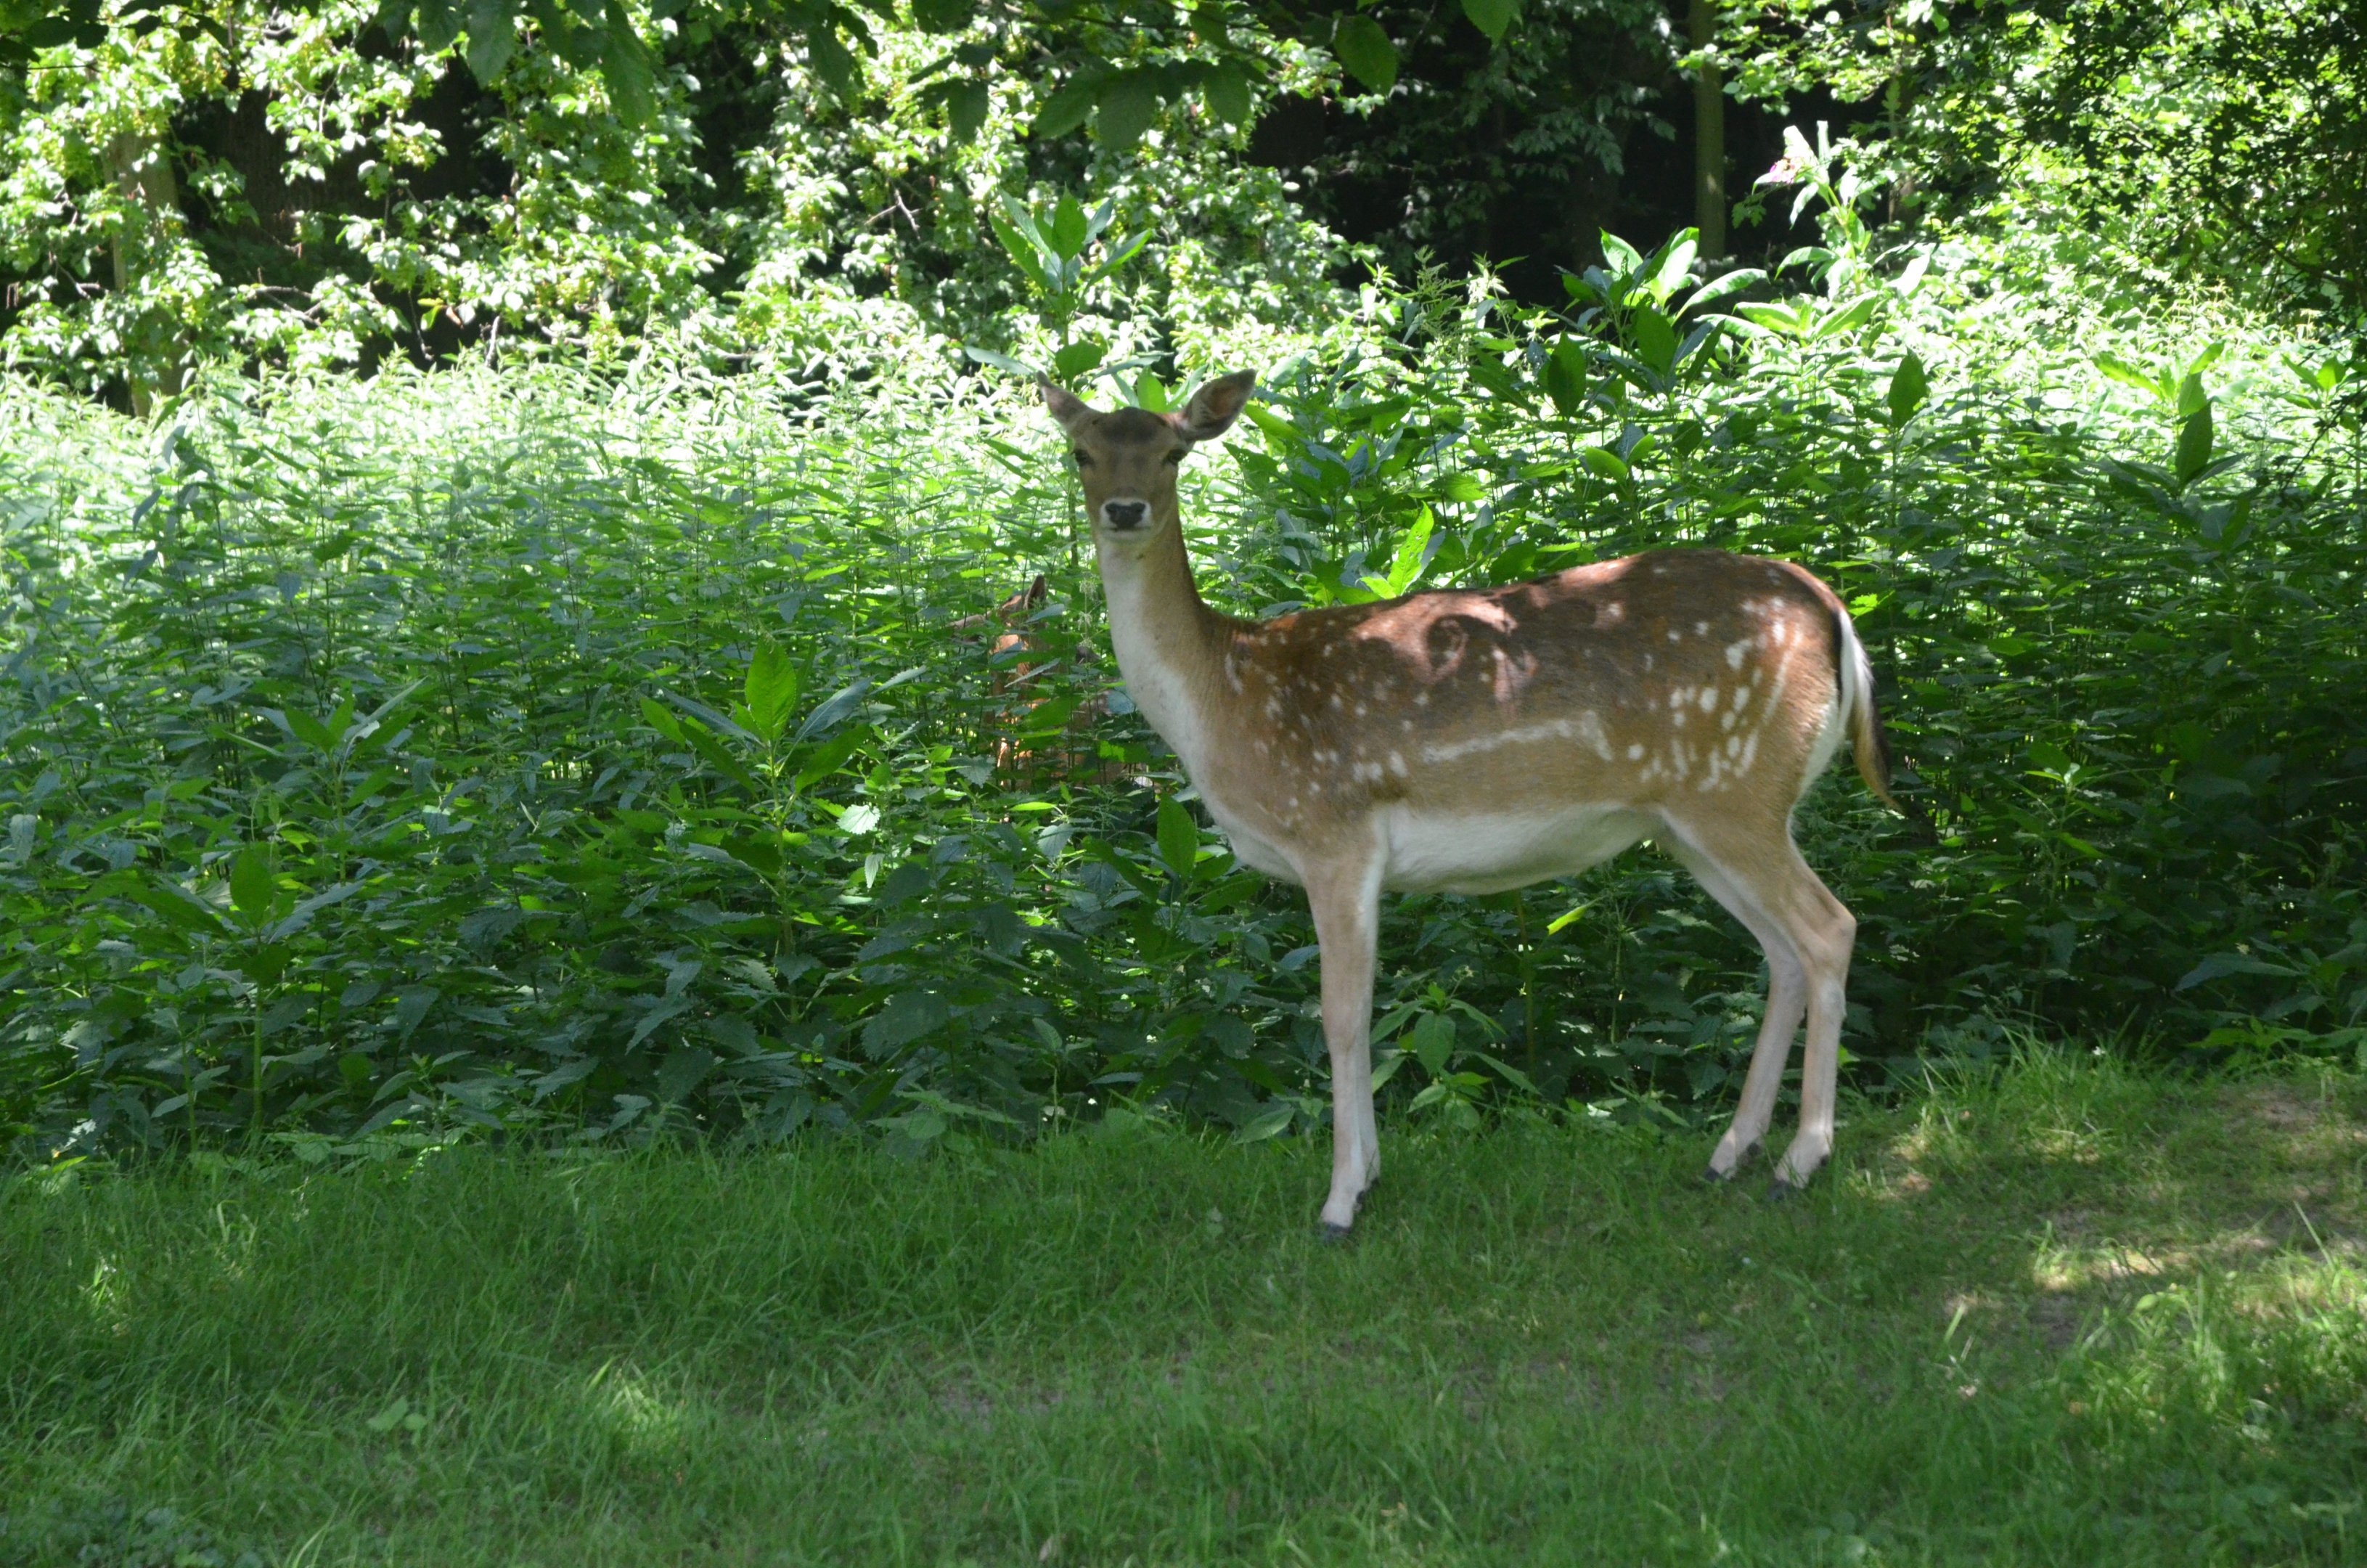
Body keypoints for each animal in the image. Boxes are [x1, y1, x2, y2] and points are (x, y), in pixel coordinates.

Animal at [1042, 369, 1898, 1236]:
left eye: (1173, 453)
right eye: (1081, 452)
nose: (1124, 510)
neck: (1223, 697)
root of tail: (1833, 612)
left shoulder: (1333, 830)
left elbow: (1340, 1016)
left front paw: (1340, 1203)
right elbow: (1369, 1013)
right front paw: (1371, 1176)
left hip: (1739, 791)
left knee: (1829, 928)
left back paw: (1799, 1162)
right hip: (1696, 818)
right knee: (1781, 954)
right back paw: (1731, 1155)